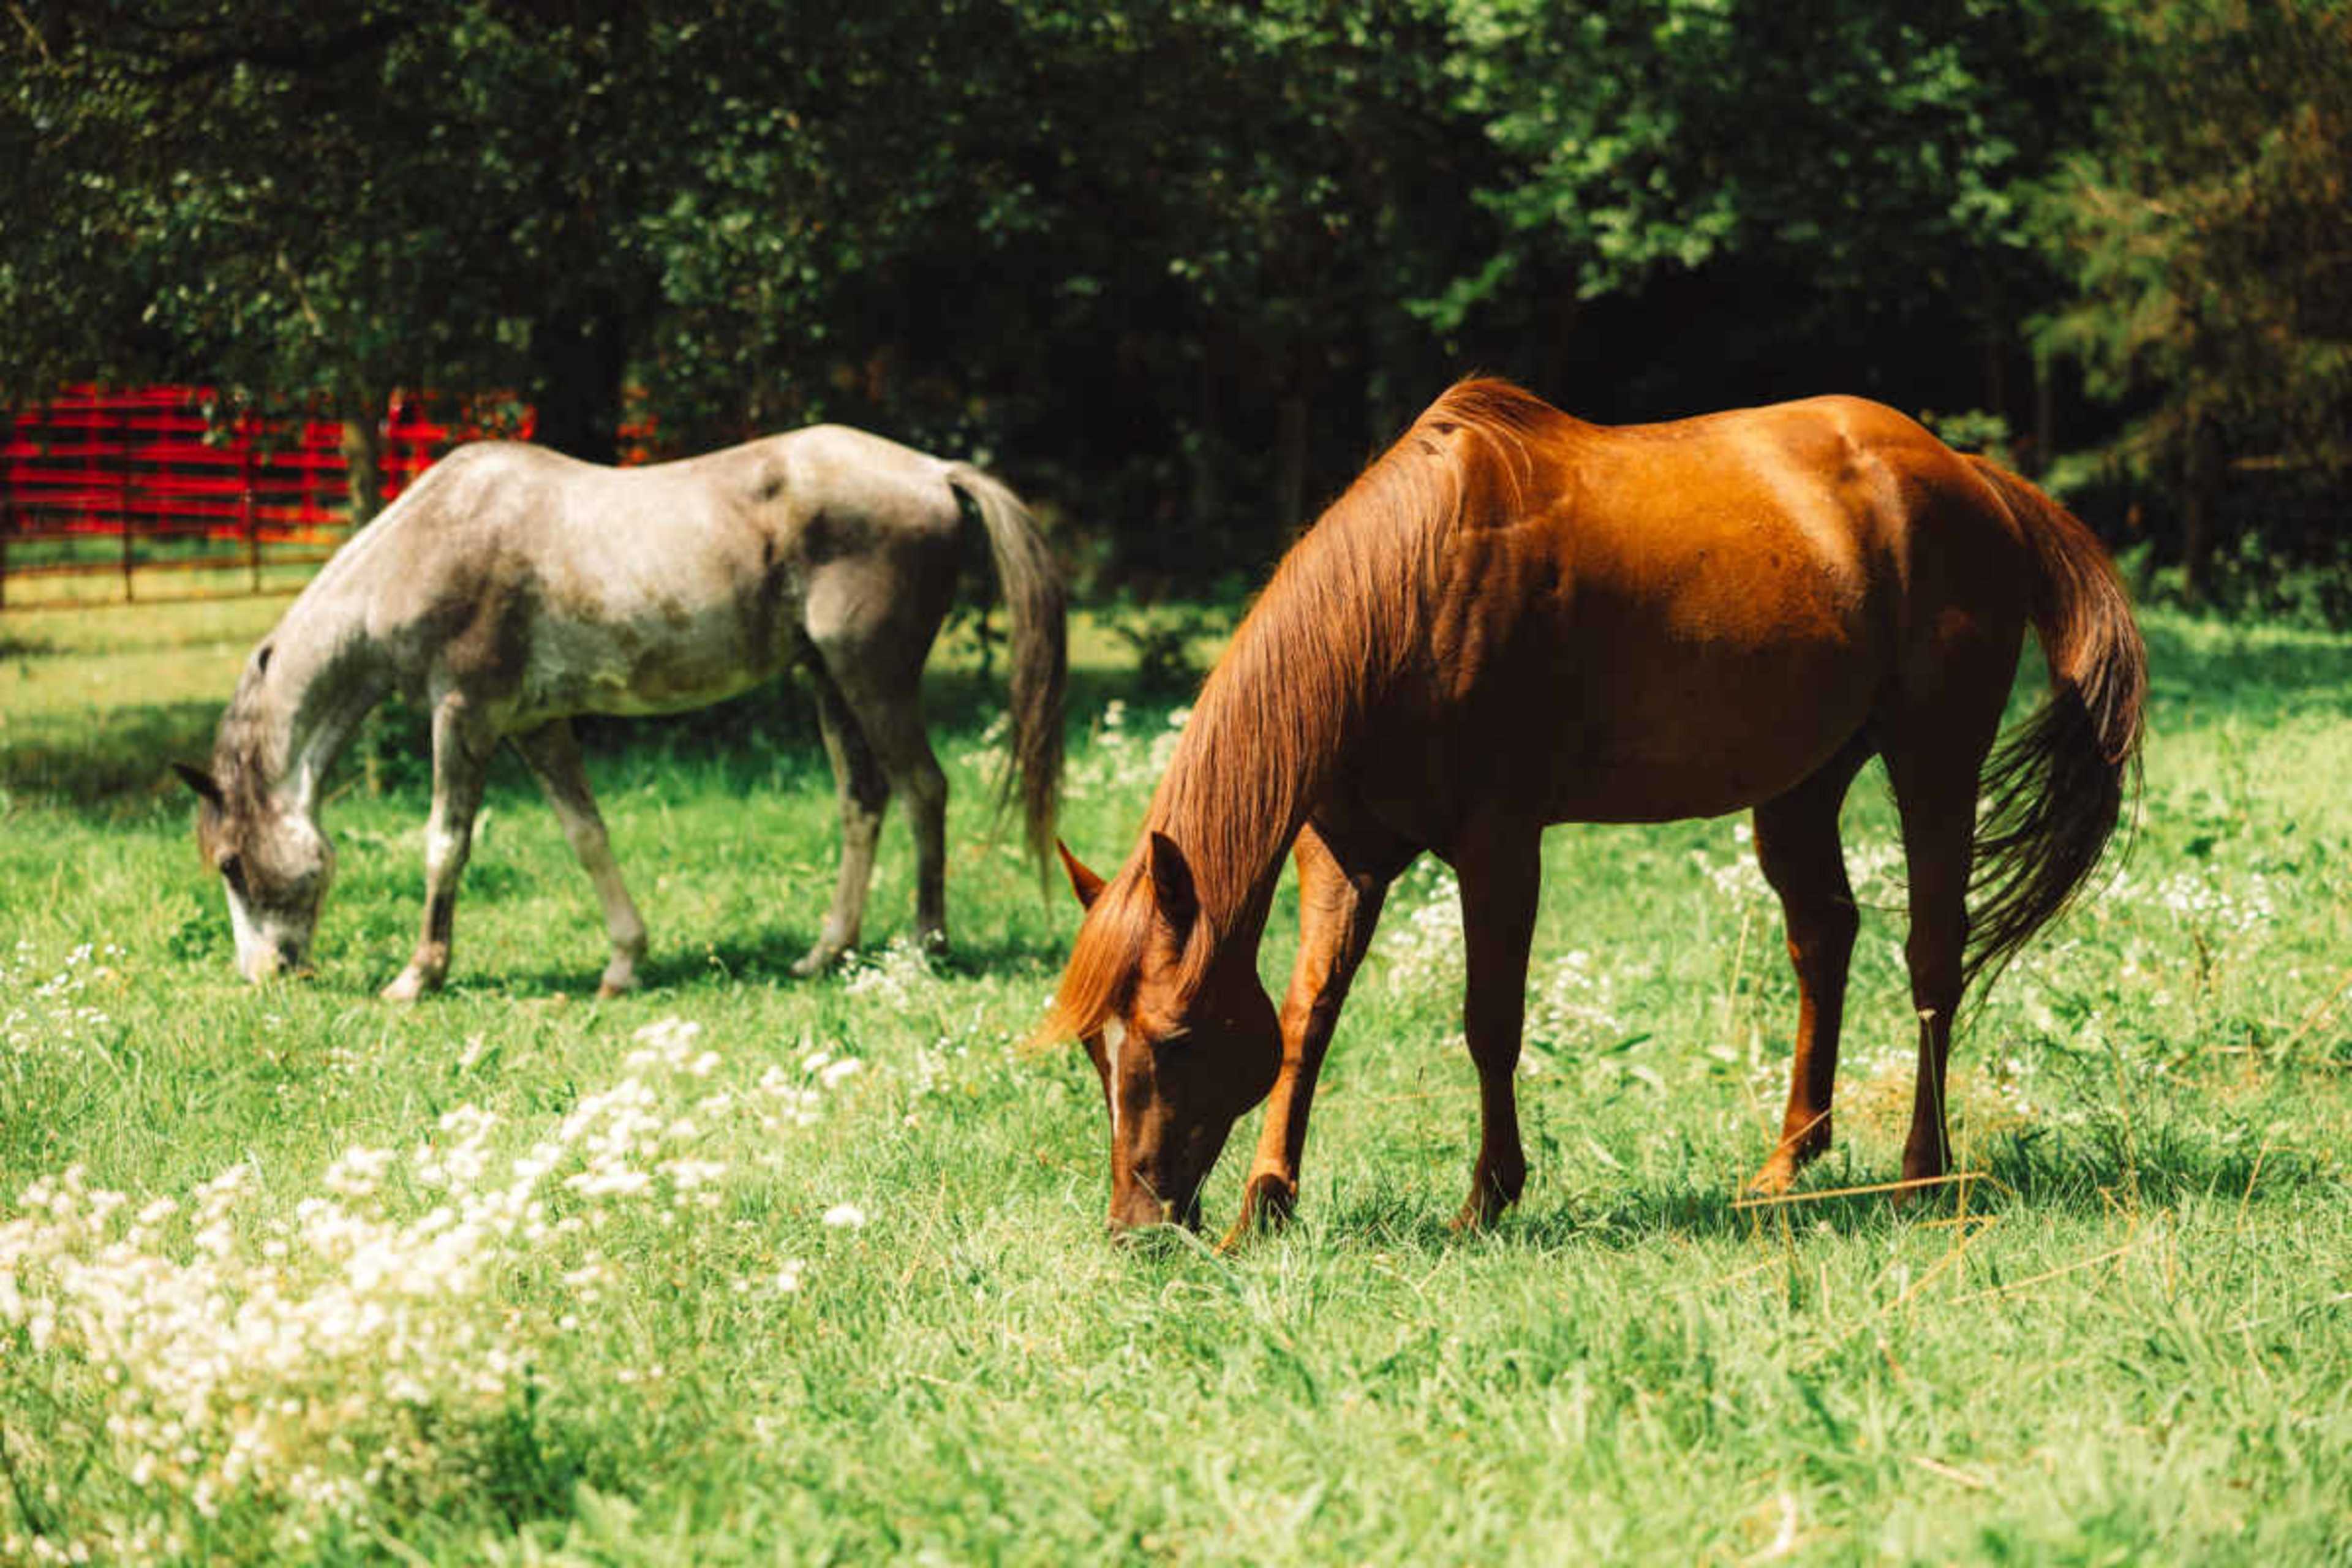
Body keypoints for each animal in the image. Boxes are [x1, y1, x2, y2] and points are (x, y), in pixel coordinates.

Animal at [174, 424, 1065, 1001]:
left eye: (232, 864)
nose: (265, 977)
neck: (428, 544)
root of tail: (934, 470)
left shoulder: (463, 715)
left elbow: (445, 844)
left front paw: (418, 975)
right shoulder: (534, 725)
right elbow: (587, 834)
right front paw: (625, 963)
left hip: (873, 676)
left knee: (924, 789)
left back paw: (924, 948)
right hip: (828, 682)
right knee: (863, 801)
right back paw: (825, 954)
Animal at [1044, 378, 2144, 1237]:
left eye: (1173, 1043)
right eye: (1099, 1049)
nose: (1136, 1229)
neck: (1407, 593)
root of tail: (1967, 472)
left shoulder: (1499, 843)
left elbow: (1490, 1022)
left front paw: (1487, 1199)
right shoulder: (1343, 857)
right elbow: (1309, 1016)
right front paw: (1266, 1203)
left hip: (1934, 762)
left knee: (1932, 955)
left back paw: (1923, 1170)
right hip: (1802, 787)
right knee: (1823, 938)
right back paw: (1787, 1163)